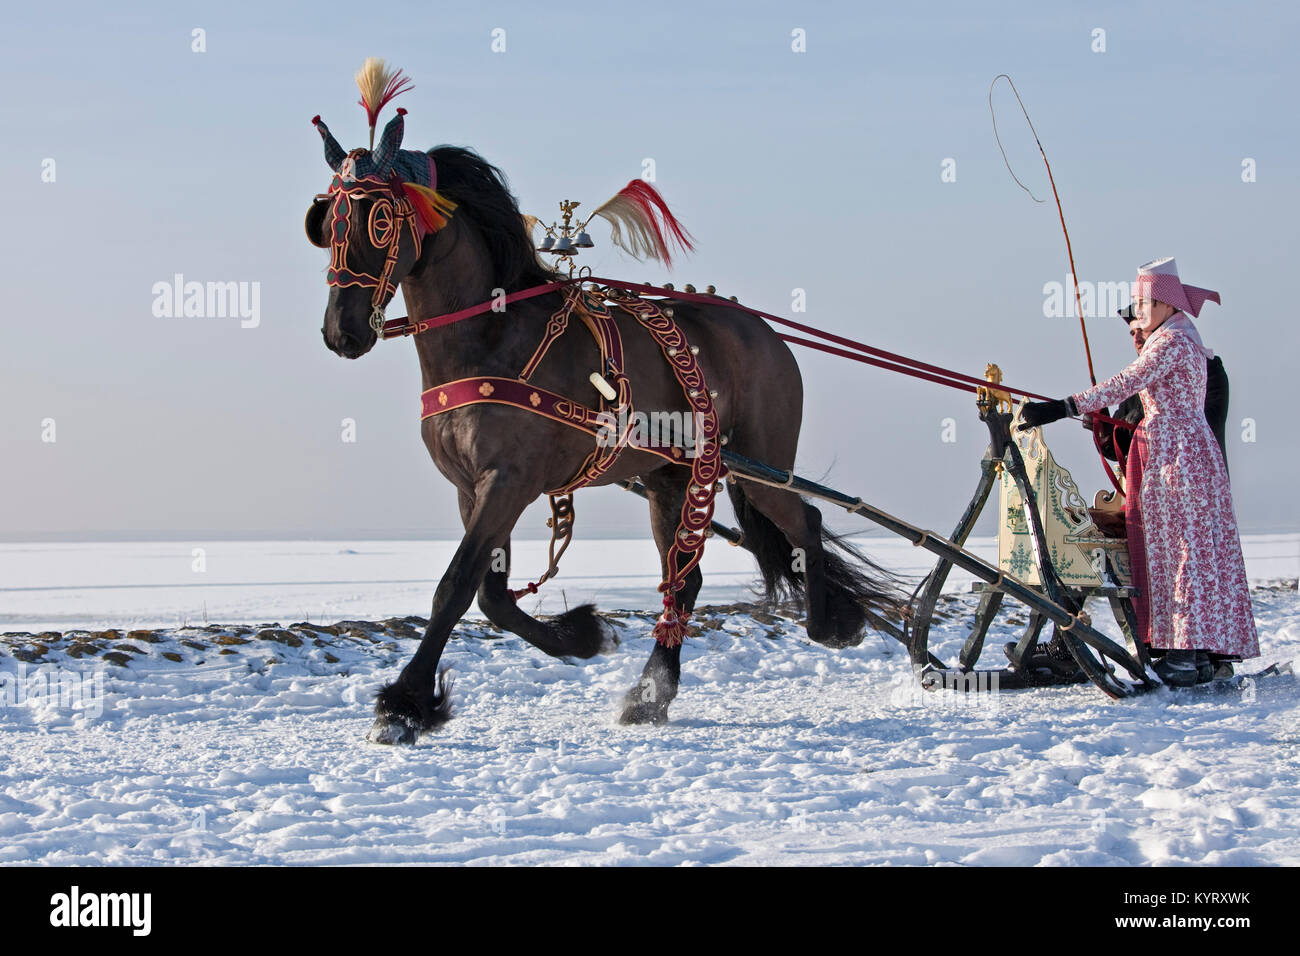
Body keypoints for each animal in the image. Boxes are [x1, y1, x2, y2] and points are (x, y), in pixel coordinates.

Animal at [305, 110, 904, 745]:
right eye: (326, 220)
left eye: (379, 221)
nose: (342, 332)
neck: (491, 337)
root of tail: (762, 330)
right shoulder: (472, 487)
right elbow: (491, 595)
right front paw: (583, 635)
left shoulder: (509, 480)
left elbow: (455, 586)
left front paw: (403, 705)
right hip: (674, 477)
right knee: (684, 581)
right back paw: (651, 694)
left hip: (759, 462)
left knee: (805, 521)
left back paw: (831, 624)